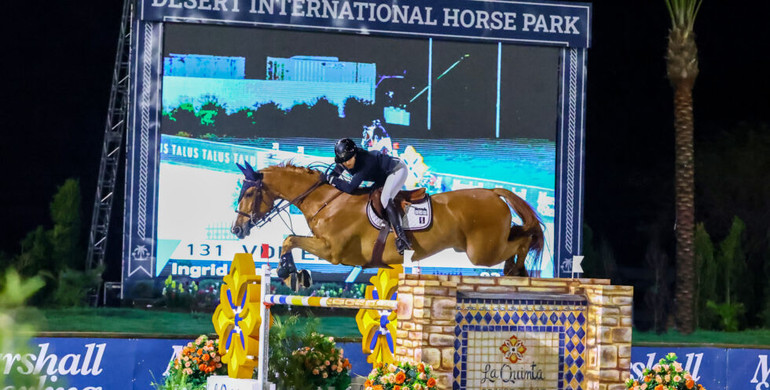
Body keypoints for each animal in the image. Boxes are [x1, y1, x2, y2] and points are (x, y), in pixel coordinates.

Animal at [231, 162, 544, 278]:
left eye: (249, 192)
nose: (237, 229)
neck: (325, 202)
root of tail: (492, 192)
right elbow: (290, 240)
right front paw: (293, 273)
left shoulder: (332, 252)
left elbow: (290, 239)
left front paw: (287, 272)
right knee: (521, 234)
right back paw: (515, 271)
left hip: (481, 252)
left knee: (522, 240)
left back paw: (517, 270)